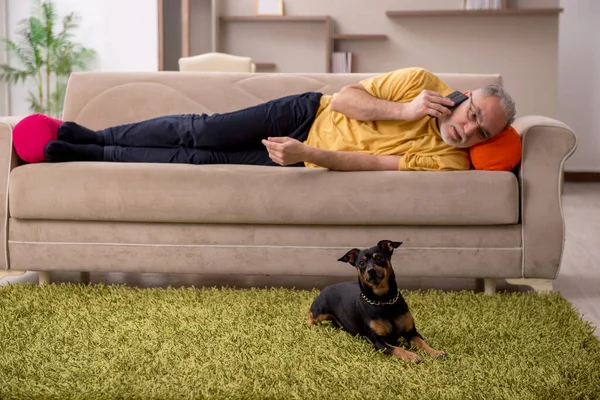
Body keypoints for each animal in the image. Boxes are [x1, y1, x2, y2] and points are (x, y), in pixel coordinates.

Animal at [310, 241, 446, 362]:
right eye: (361, 263)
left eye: (379, 257)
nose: (371, 270)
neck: (383, 301)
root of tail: (326, 288)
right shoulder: (379, 342)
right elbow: (397, 349)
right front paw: (412, 356)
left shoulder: (411, 332)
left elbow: (422, 343)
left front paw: (436, 352)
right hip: (320, 312)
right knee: (311, 314)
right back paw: (311, 326)